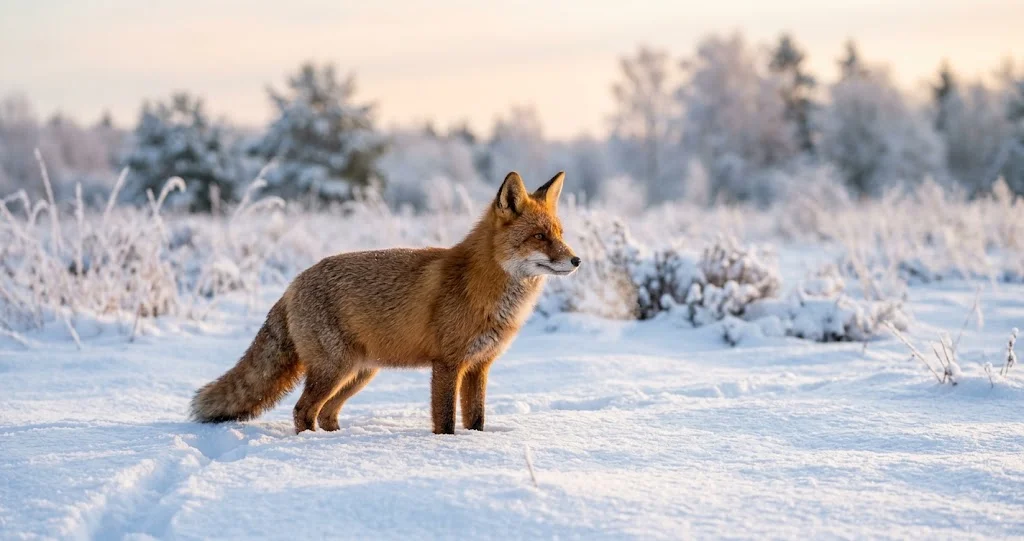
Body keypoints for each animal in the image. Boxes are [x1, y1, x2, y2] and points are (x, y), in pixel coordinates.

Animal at [190, 171, 579, 435]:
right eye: (539, 237)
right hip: (335, 369)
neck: (486, 288)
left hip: (359, 373)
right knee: (303, 410)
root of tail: (292, 284)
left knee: (327, 413)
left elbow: (476, 420)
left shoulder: (479, 366)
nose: (576, 261)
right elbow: (446, 421)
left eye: (560, 234)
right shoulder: (448, 363)